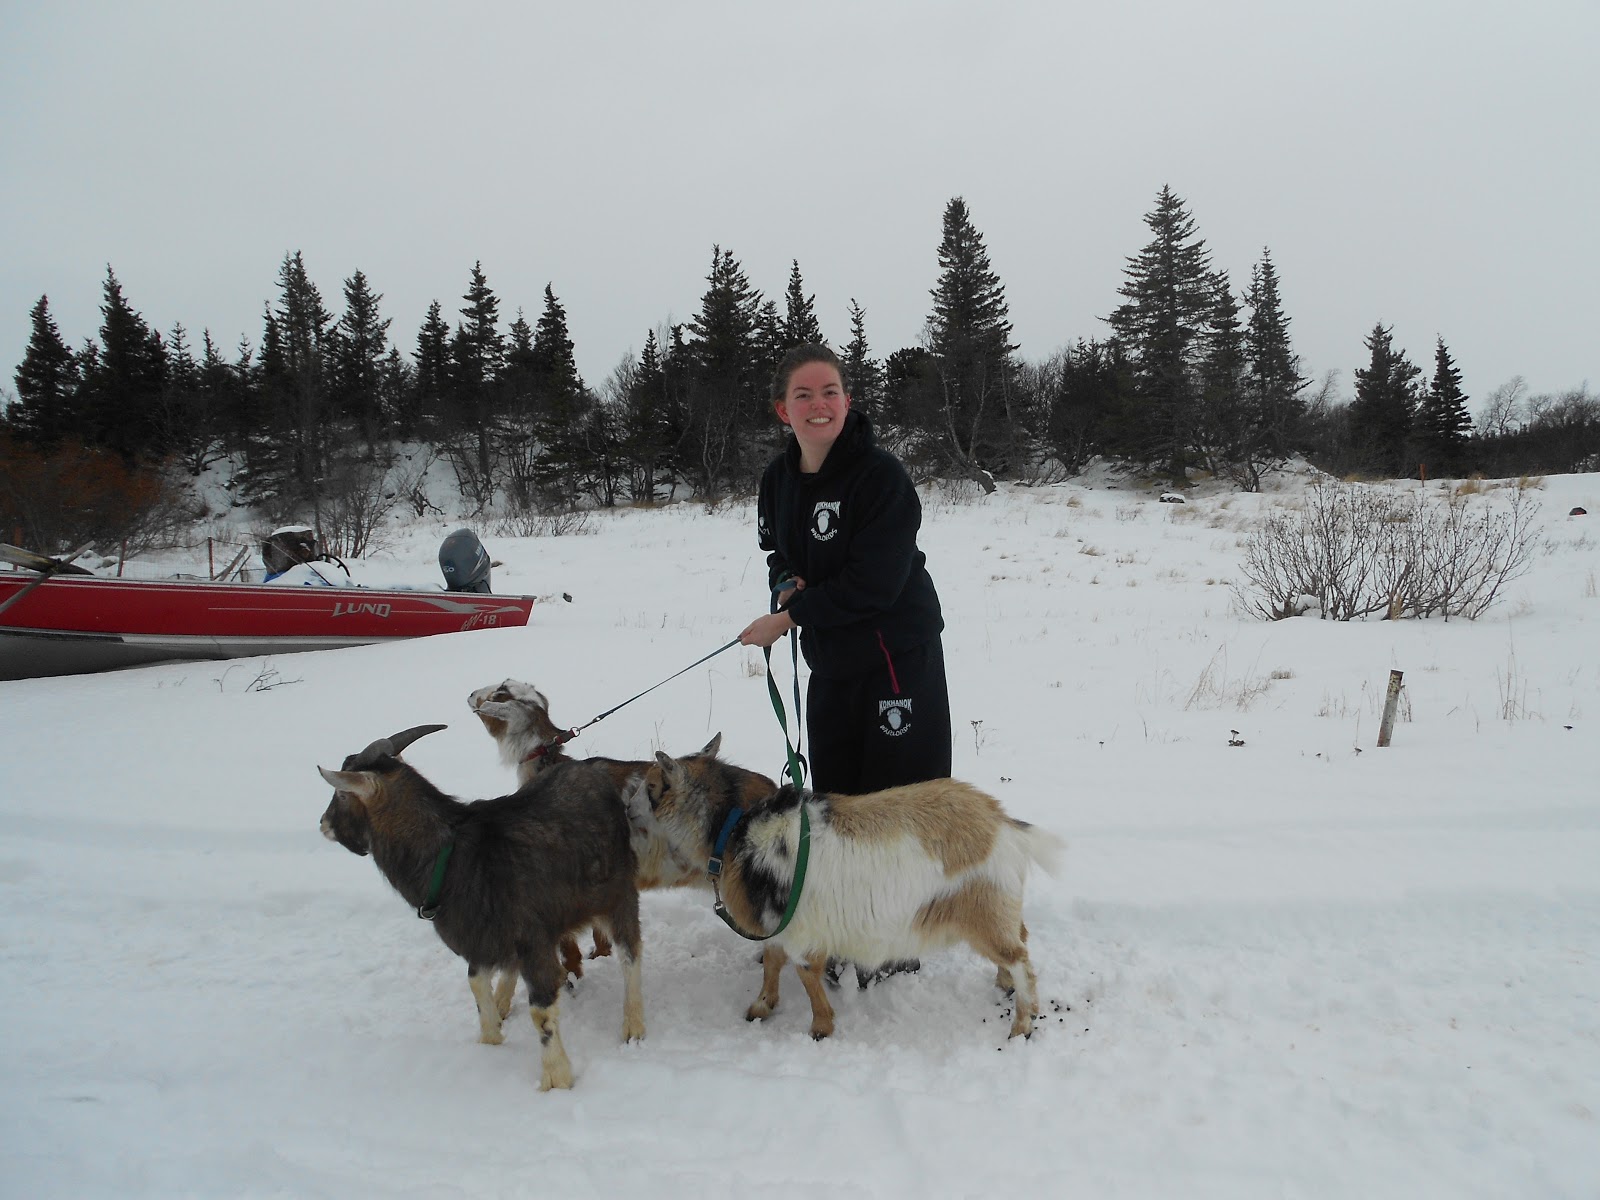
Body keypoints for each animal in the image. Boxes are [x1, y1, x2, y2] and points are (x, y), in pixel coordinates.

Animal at [317, 723, 644, 1090]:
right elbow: (475, 982)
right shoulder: (481, 938)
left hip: (618, 894)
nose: (323, 824)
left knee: (630, 954)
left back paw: (633, 1025)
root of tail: (598, 772)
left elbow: (540, 1009)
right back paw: (503, 1001)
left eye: (342, 793)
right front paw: (490, 1039)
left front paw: (556, 1077)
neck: (452, 854)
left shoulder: (532, 939)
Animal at [636, 745, 1063, 1040]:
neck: (736, 826)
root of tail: (1002, 823)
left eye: (653, 785)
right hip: (998, 909)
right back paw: (1005, 988)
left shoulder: (801, 929)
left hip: (984, 912)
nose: (629, 809)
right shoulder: (777, 922)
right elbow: (773, 961)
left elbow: (805, 973)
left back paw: (1021, 1025)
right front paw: (761, 1006)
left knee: (1021, 960)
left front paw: (820, 1028)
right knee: (1018, 944)